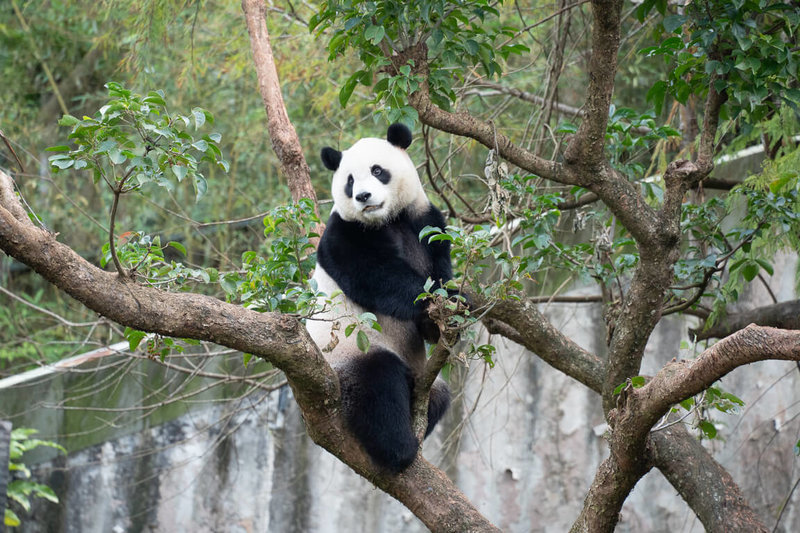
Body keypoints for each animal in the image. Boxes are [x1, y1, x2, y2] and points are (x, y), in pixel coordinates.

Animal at [306, 123, 454, 470]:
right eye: (349, 181)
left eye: (377, 170)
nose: (363, 196)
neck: (387, 220)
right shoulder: (343, 232)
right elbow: (374, 276)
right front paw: (435, 301)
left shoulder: (425, 220)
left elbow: (439, 265)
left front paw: (442, 316)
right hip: (351, 352)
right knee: (378, 387)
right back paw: (399, 450)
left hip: (423, 378)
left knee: (440, 396)